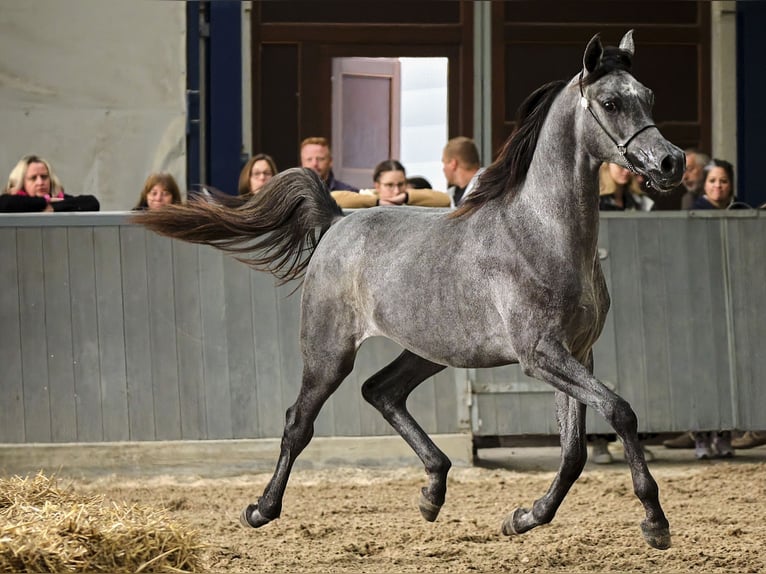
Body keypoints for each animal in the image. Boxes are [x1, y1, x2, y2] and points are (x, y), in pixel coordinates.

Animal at [135, 30, 688, 548]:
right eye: (611, 103)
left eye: (648, 95)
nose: (671, 163)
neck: (541, 233)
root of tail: (337, 221)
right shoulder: (541, 354)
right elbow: (620, 411)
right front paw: (655, 523)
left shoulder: (577, 353)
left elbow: (573, 451)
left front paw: (523, 518)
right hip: (328, 352)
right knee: (299, 421)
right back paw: (261, 509)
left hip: (430, 350)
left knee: (382, 391)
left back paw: (433, 491)